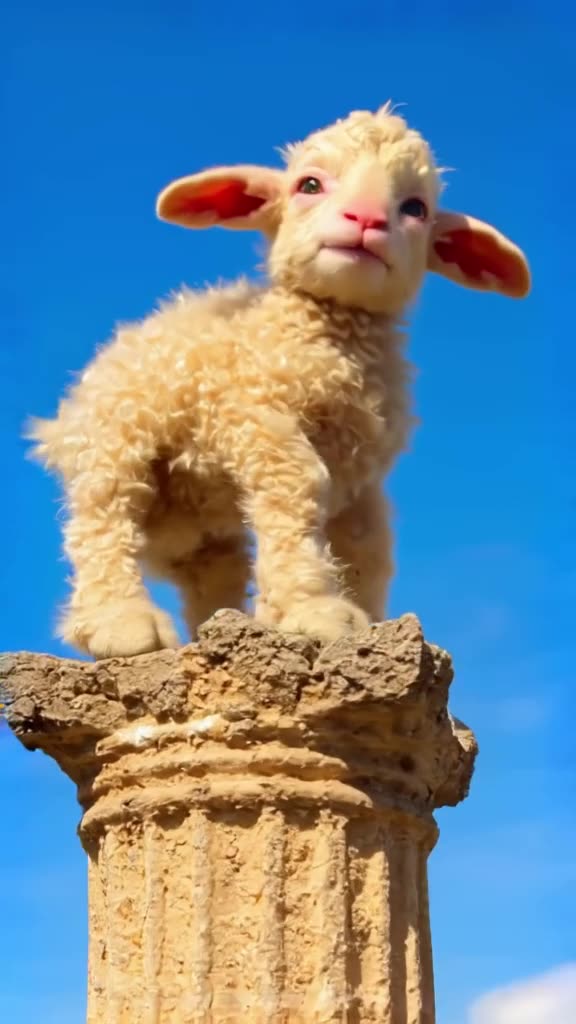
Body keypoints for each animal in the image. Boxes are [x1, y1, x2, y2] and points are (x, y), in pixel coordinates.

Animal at [26, 104, 531, 659]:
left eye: (415, 208)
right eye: (309, 184)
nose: (366, 220)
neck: (321, 333)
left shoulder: (361, 473)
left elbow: (368, 545)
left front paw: (365, 621)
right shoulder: (256, 417)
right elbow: (298, 490)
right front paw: (313, 612)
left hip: (199, 522)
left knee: (213, 568)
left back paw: (220, 625)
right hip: (114, 439)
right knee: (102, 519)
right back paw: (122, 622)